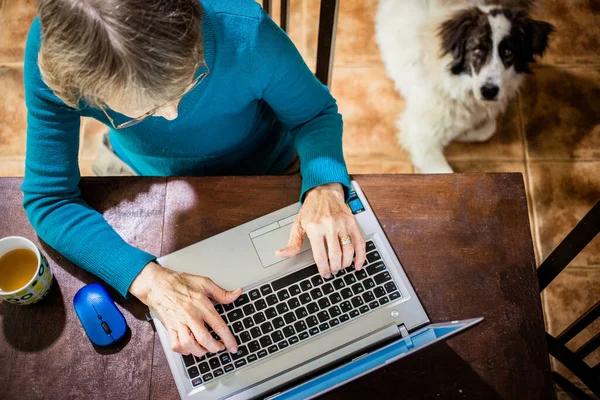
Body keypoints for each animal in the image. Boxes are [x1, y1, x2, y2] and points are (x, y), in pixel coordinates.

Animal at [378, 0, 556, 172]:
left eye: (508, 52)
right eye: (477, 50)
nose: (489, 91)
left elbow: (489, 128)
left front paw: (463, 133)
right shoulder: (421, 137)